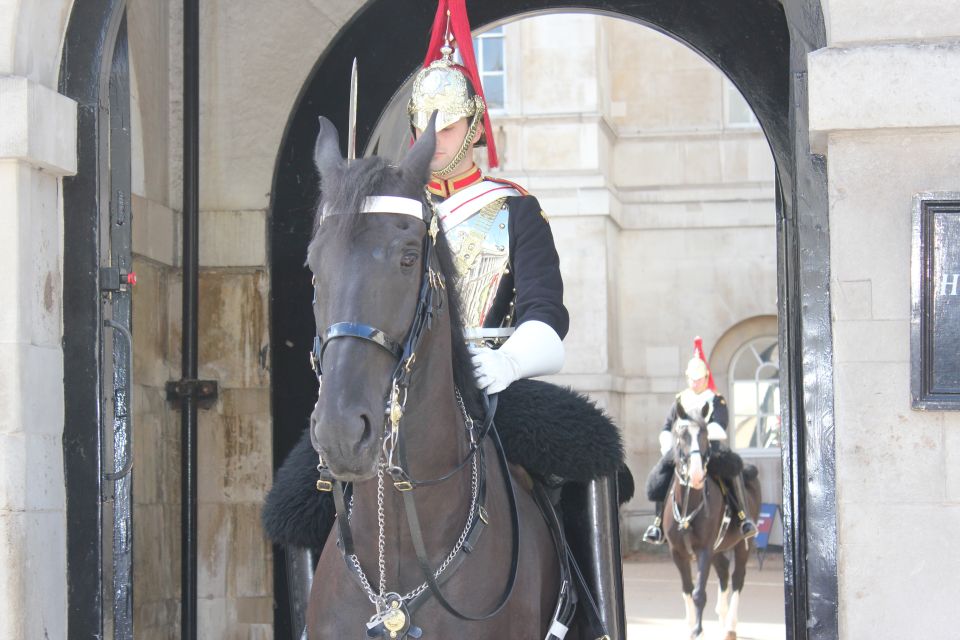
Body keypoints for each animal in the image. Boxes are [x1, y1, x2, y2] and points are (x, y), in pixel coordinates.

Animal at [664, 404, 760, 640]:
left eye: (705, 436)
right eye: (681, 435)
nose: (697, 474)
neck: (689, 504)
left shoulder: (704, 550)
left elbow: (699, 592)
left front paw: (698, 630)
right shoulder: (677, 552)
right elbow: (687, 589)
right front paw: (691, 627)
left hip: (743, 545)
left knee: (737, 578)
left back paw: (730, 626)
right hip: (719, 548)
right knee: (724, 571)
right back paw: (722, 618)